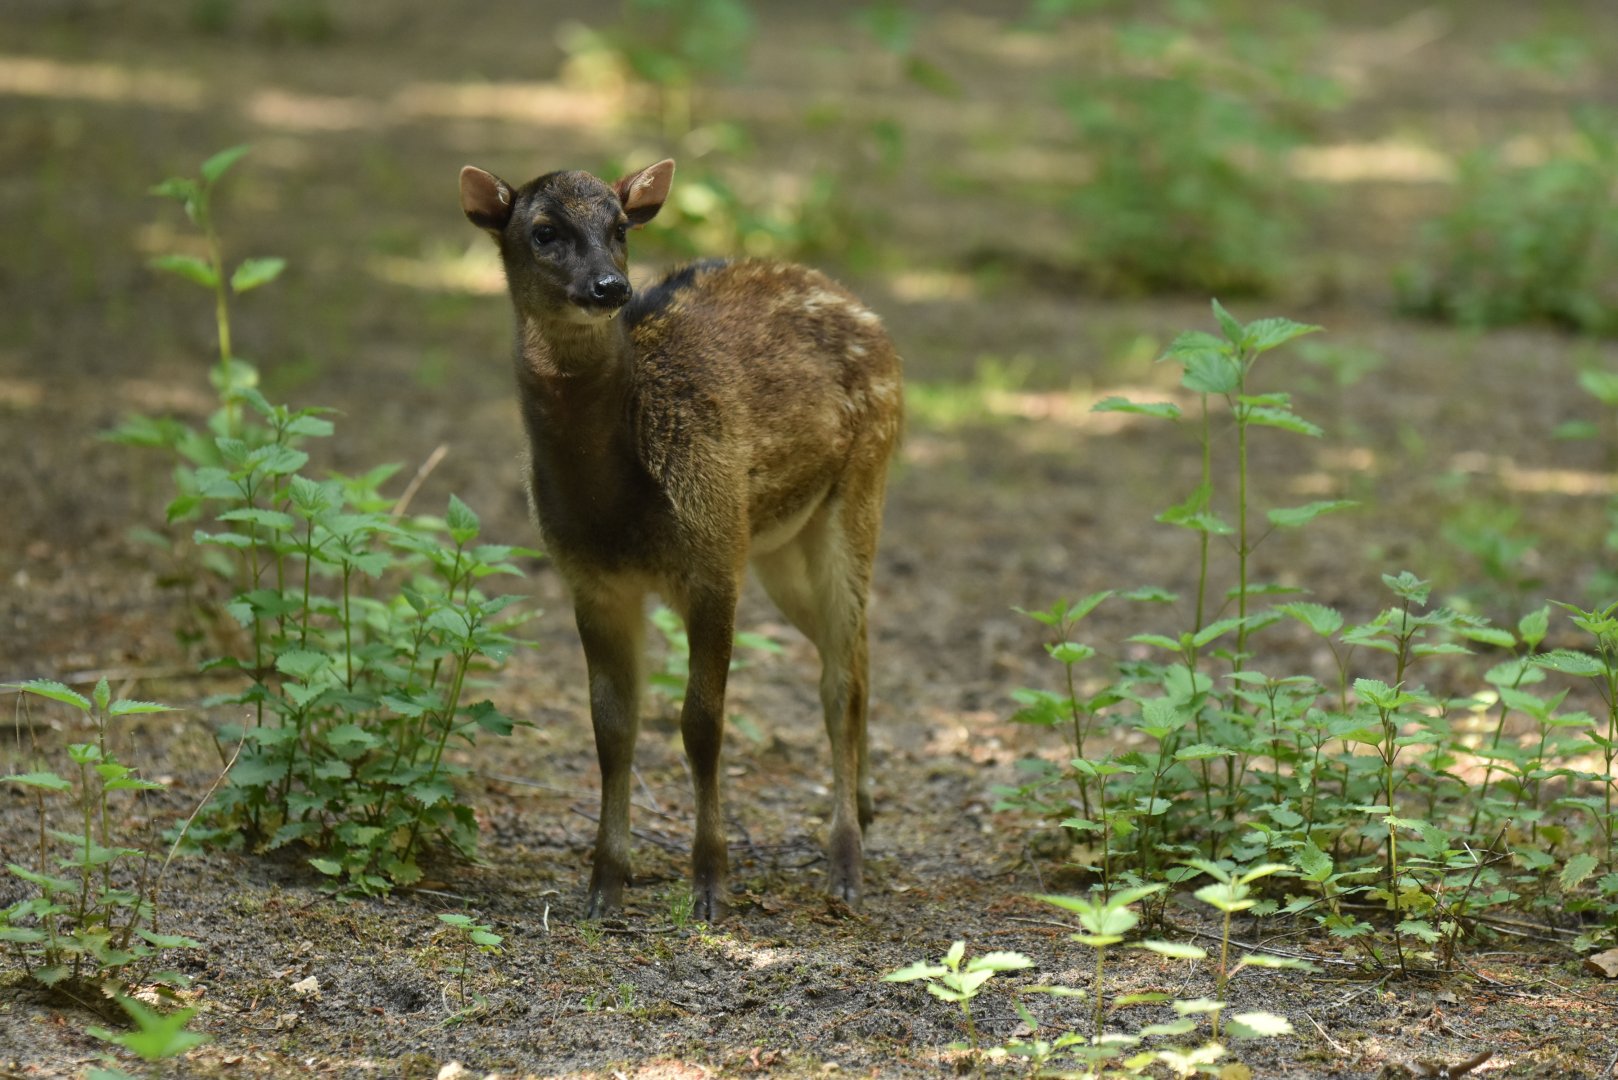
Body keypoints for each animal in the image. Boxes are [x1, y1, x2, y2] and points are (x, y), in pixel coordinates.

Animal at [459, 158, 903, 921]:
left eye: (620, 226)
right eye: (543, 231)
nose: (611, 287)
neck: (615, 504)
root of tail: (862, 310)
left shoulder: (713, 555)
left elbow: (701, 723)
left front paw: (710, 884)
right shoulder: (589, 577)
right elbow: (612, 727)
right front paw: (604, 885)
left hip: (861, 481)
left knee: (838, 679)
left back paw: (845, 867)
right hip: (779, 544)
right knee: (858, 650)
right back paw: (868, 807)